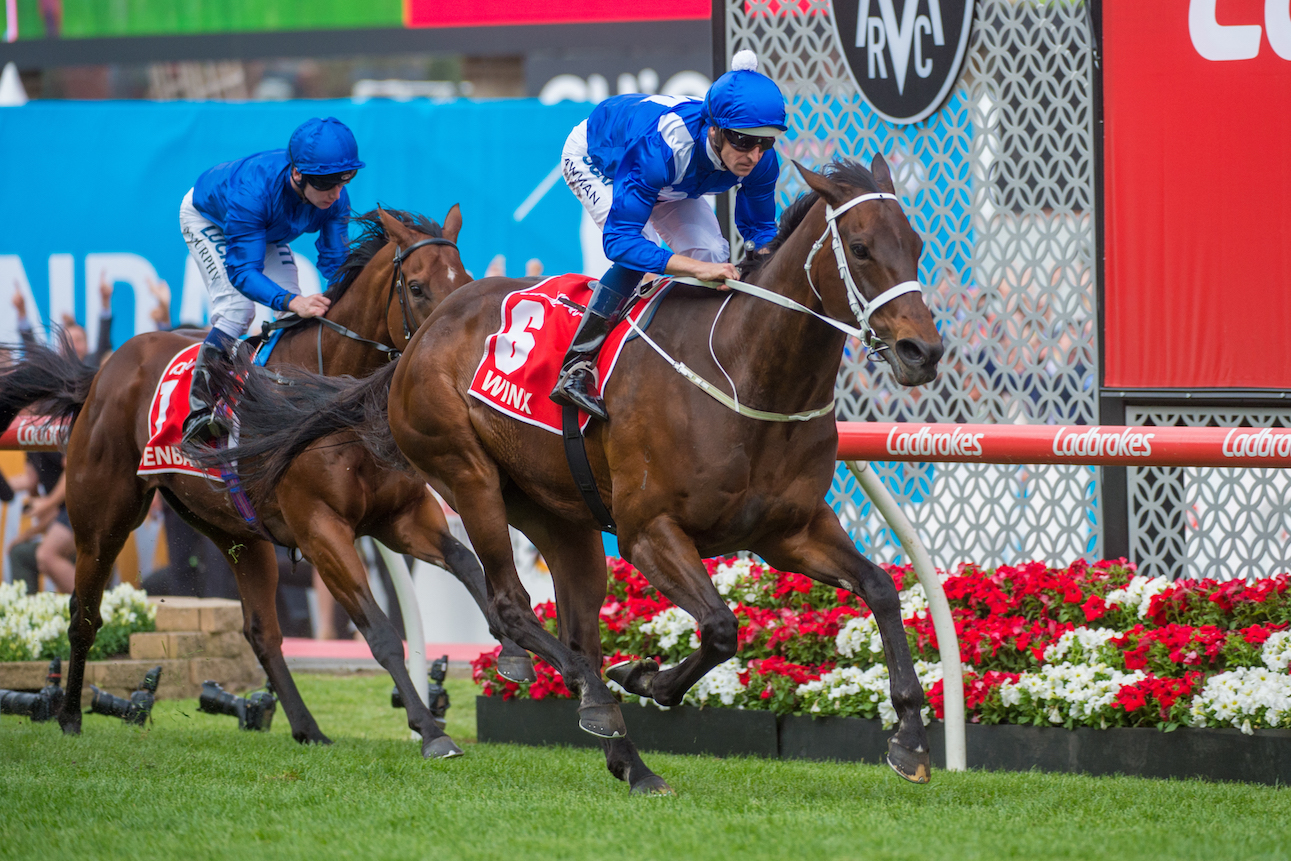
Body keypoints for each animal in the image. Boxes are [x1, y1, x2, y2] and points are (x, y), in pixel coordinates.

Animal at [0, 205, 529, 759]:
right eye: (418, 286)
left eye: (465, 282)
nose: (448, 351)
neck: (334, 403)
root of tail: (102, 372)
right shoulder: (321, 530)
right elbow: (382, 633)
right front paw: (430, 730)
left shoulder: (400, 517)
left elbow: (469, 564)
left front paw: (515, 653)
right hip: (104, 519)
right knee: (84, 613)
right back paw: (69, 715)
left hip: (236, 533)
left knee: (261, 632)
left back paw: (307, 726)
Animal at [211, 156, 945, 795]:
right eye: (859, 246)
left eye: (914, 243)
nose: (924, 351)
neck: (745, 372)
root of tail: (415, 343)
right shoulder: (649, 532)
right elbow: (719, 626)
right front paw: (644, 678)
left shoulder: (789, 530)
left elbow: (881, 588)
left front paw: (909, 738)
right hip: (466, 475)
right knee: (511, 606)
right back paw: (597, 703)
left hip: (561, 516)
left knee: (571, 624)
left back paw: (627, 755)